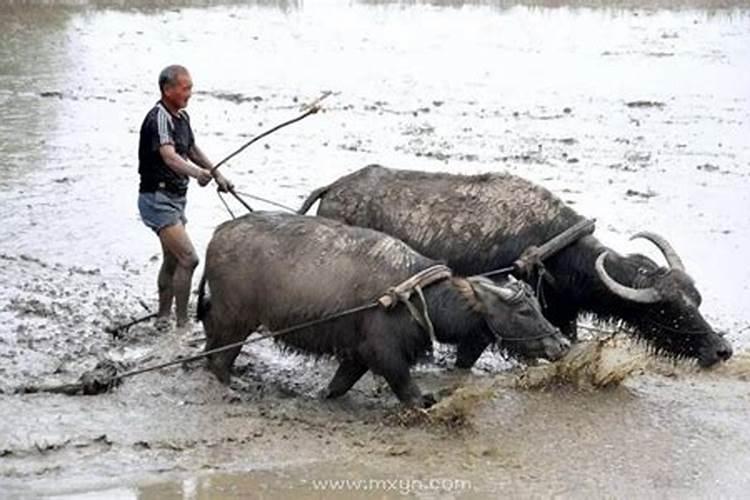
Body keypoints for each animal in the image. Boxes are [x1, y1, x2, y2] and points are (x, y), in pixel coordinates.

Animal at [197, 213, 568, 408]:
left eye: (537, 305)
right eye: (522, 311)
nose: (561, 344)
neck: (417, 296)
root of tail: (218, 235)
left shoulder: (356, 354)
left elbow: (338, 385)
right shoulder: (385, 353)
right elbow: (411, 393)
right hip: (236, 320)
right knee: (219, 359)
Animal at [300, 164, 736, 368]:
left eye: (696, 300)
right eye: (669, 308)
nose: (721, 349)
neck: (551, 247)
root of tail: (333, 187)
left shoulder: (563, 314)